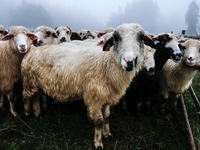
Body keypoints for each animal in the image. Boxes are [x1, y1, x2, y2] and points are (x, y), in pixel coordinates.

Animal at [21, 22, 155, 149]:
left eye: (141, 38)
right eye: (116, 38)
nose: (129, 61)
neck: (106, 63)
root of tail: (32, 50)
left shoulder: (107, 96)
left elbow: (107, 117)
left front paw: (108, 135)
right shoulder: (94, 98)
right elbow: (99, 122)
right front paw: (98, 143)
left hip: (37, 83)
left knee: (35, 98)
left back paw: (38, 114)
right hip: (29, 82)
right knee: (26, 98)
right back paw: (28, 115)